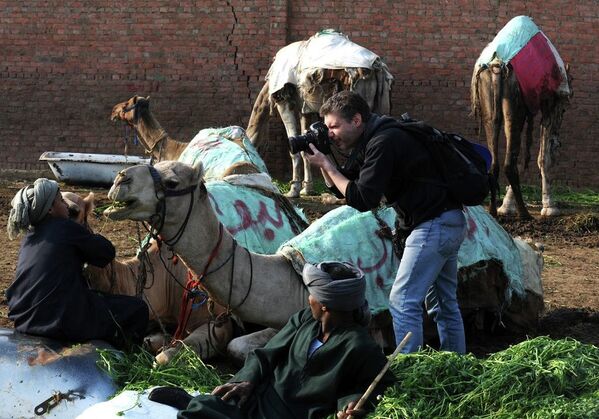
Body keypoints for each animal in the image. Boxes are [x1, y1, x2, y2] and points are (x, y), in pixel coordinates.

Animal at [246, 30, 392, 198]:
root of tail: (377, 66)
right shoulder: (306, 109)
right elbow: (304, 151)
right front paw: (307, 189)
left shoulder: (283, 101)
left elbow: (294, 150)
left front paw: (293, 190)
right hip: (379, 102)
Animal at [472, 15, 576, 220]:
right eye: (563, 110)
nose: (559, 142)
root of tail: (497, 65)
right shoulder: (550, 104)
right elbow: (544, 157)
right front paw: (550, 207)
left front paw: (506, 206)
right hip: (515, 105)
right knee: (509, 163)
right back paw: (524, 213)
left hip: (489, 101)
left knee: (496, 159)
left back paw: (494, 211)